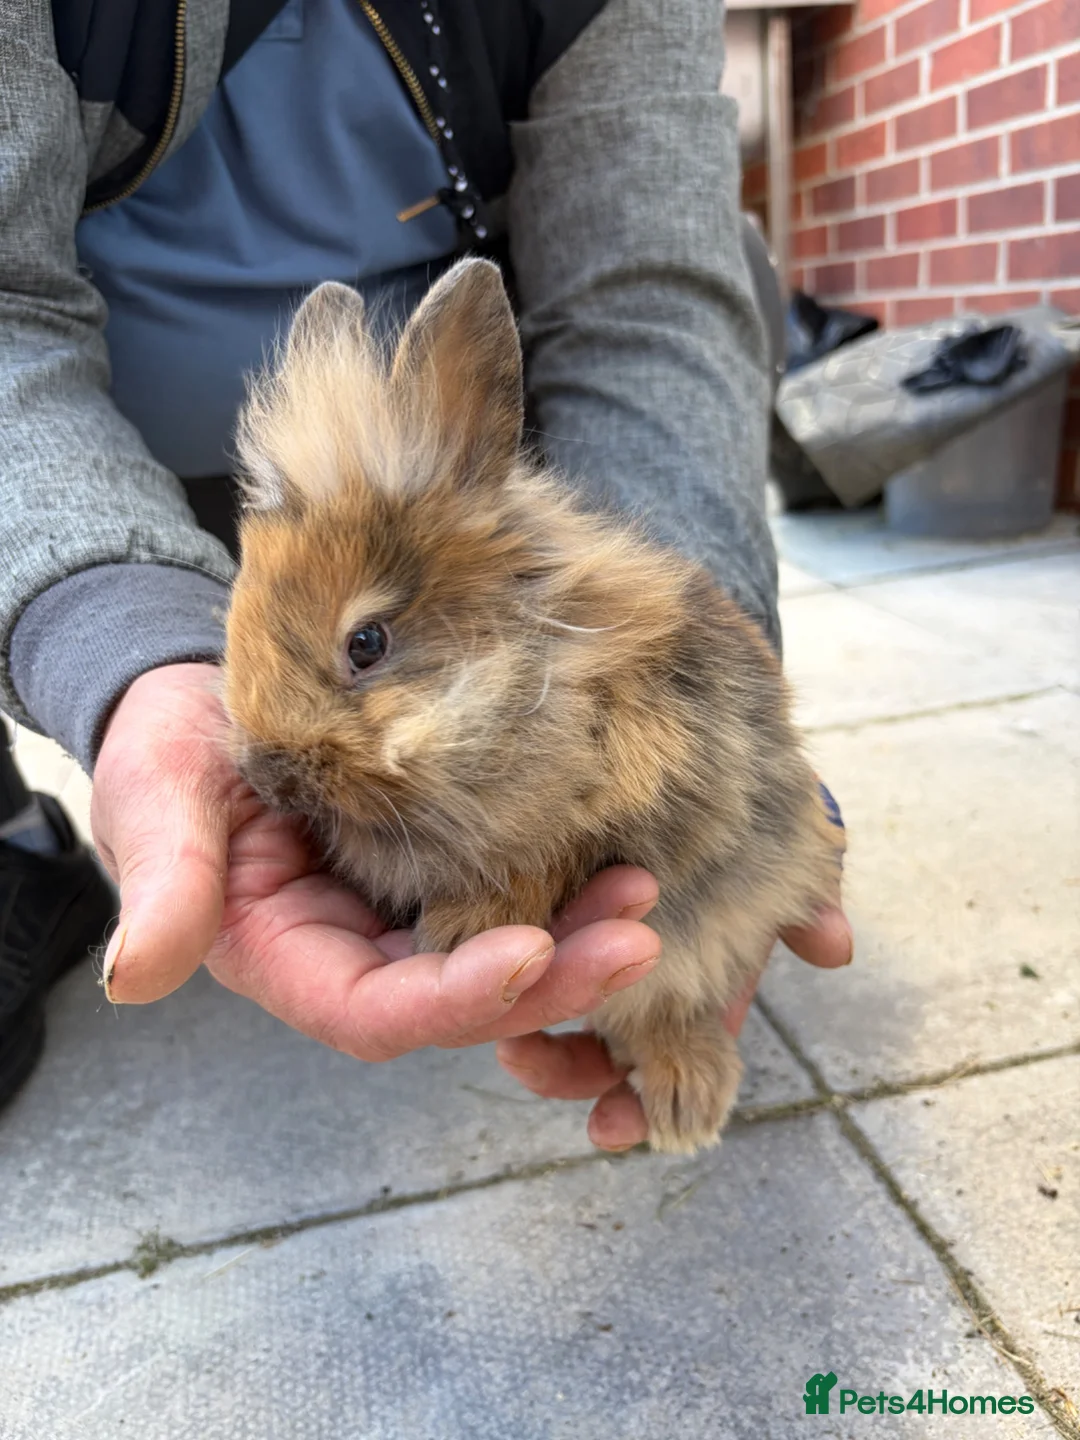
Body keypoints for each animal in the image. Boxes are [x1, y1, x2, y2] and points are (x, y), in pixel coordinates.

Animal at [221, 257, 844, 1155]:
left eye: (366, 643)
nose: (266, 775)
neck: (528, 677)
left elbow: (552, 860)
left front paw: (461, 930)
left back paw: (687, 1108)